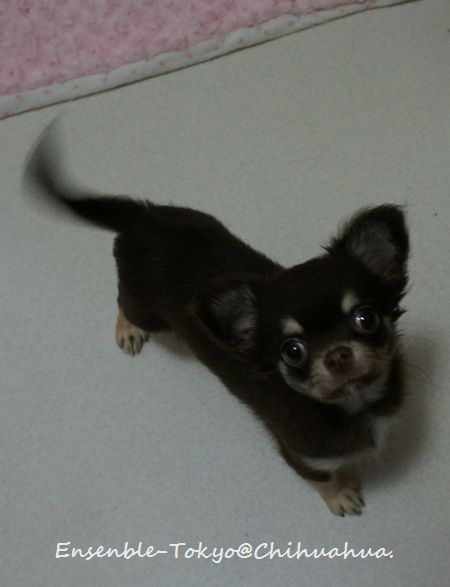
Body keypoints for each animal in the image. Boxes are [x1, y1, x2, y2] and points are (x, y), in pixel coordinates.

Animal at [24, 122, 409, 516]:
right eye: (292, 350)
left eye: (366, 318)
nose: (338, 355)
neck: (356, 403)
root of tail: (143, 216)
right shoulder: (301, 455)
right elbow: (325, 479)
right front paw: (341, 495)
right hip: (146, 308)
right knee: (123, 303)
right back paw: (128, 330)